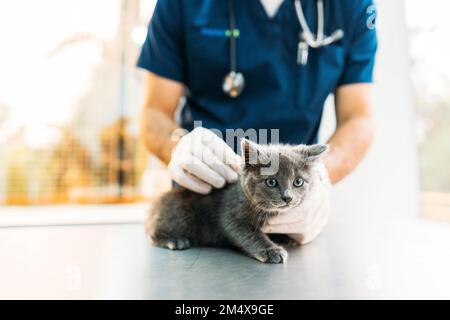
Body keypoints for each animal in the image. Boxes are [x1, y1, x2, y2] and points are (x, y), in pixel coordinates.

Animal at [147, 139, 326, 262]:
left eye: (298, 182)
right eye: (271, 182)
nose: (288, 197)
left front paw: (285, 238)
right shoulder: (231, 215)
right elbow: (248, 234)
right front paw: (271, 250)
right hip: (180, 214)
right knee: (154, 233)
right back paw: (173, 240)